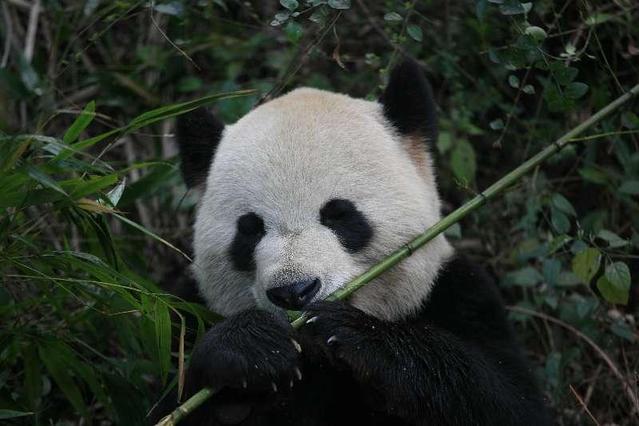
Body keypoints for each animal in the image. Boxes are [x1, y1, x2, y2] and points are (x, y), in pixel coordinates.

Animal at [152, 60, 552, 426]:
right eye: (250, 229)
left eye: (339, 214)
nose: (294, 291)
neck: (315, 358)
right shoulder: (184, 310)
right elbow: (173, 400)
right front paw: (250, 346)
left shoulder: (460, 294)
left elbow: (505, 398)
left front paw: (354, 334)